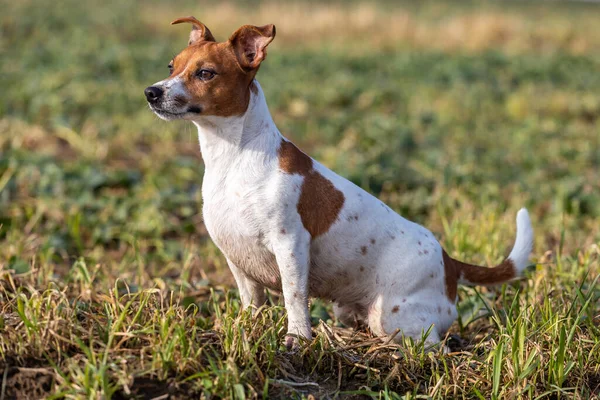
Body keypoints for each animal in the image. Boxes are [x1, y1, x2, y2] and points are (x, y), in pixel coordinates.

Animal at [146, 17, 536, 348]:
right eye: (171, 67)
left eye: (206, 73)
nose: (152, 92)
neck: (234, 157)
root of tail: (450, 263)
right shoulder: (237, 259)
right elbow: (251, 304)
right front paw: (246, 331)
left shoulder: (290, 246)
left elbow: (295, 297)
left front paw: (297, 338)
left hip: (394, 317)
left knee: (434, 346)